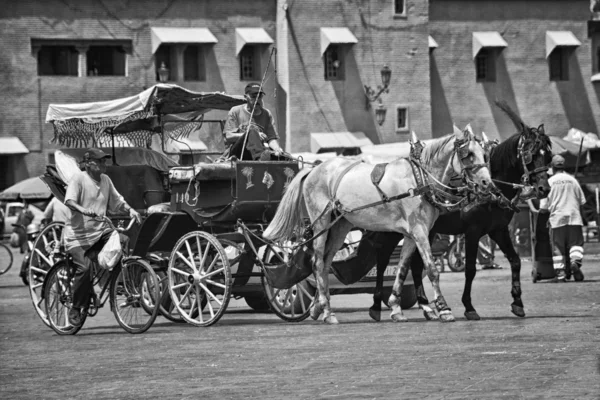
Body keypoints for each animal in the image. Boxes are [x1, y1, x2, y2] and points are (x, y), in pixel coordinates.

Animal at [264, 130, 494, 324]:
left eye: (484, 154)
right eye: (468, 155)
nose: (487, 184)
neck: (418, 179)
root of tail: (313, 169)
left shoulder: (411, 235)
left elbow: (402, 269)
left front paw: (395, 308)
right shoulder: (420, 232)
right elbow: (432, 269)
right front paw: (444, 309)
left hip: (340, 225)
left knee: (327, 262)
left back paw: (321, 307)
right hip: (321, 222)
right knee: (318, 262)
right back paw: (327, 312)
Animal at [370, 103, 552, 322]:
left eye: (548, 155)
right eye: (529, 155)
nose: (544, 189)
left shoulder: (498, 230)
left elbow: (515, 261)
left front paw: (517, 302)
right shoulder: (472, 231)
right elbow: (470, 269)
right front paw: (469, 306)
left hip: (425, 231)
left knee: (415, 265)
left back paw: (426, 307)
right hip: (394, 230)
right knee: (382, 260)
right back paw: (377, 305)